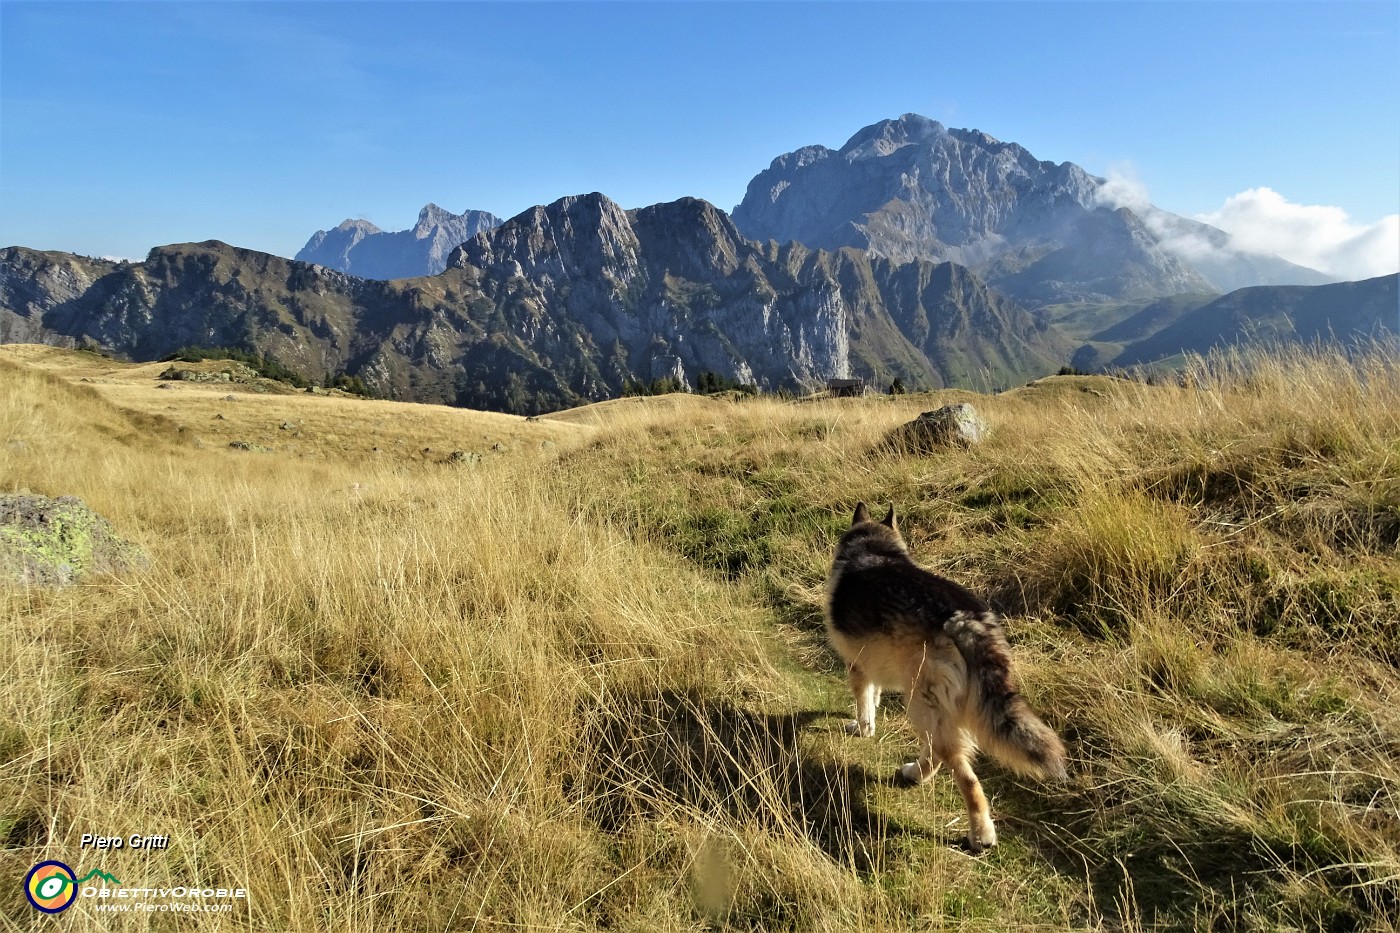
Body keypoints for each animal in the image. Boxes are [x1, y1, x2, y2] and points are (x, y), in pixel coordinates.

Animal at [823, 501, 1064, 851]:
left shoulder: (857, 667)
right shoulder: (874, 661)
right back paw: (916, 773)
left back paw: (980, 834)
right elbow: (875, 696)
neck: (873, 547)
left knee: (966, 777)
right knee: (938, 752)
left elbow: (864, 704)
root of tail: (965, 618)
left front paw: (862, 728)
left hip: (919, 702)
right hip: (931, 705)